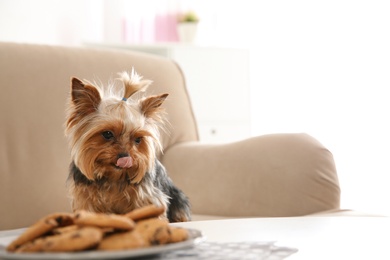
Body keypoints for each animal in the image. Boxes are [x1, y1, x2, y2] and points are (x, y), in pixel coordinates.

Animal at [64, 68, 191, 221]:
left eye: (138, 139)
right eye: (107, 134)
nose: (125, 157)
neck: (112, 177)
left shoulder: (149, 198)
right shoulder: (85, 200)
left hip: (179, 200)